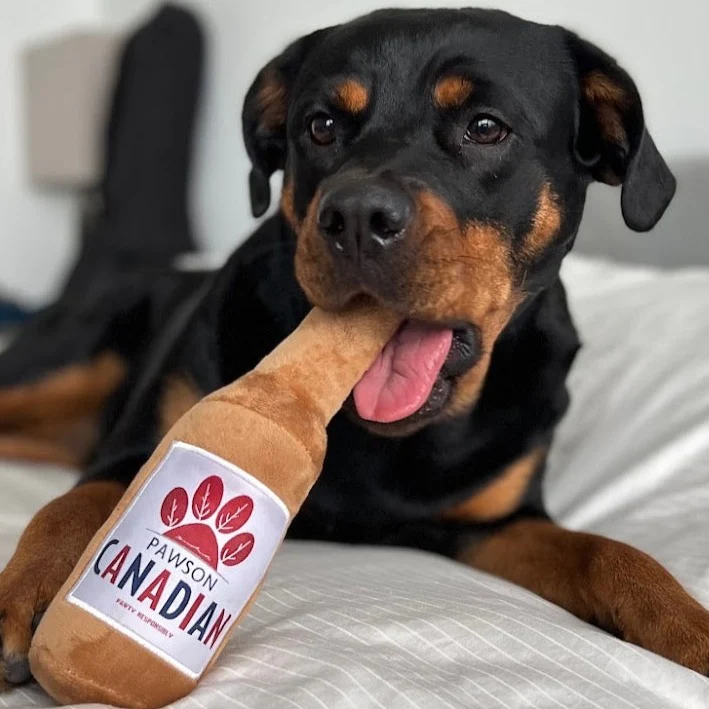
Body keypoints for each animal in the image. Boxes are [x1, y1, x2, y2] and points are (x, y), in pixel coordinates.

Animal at [1, 8, 708, 688]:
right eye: (320, 126)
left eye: (485, 127)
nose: (359, 217)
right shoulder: (138, 450)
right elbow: (72, 508)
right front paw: (34, 589)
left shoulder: (492, 525)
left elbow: (606, 552)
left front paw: (689, 628)